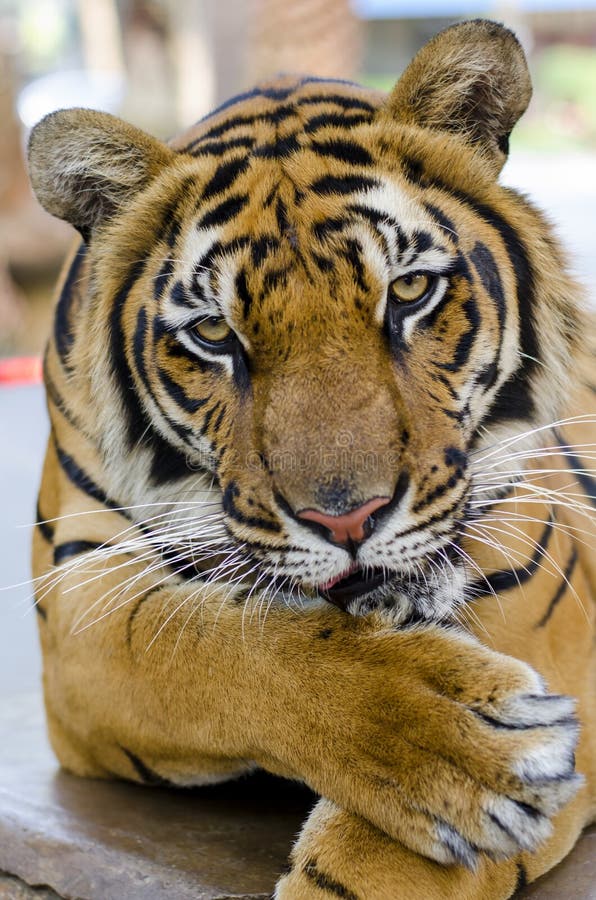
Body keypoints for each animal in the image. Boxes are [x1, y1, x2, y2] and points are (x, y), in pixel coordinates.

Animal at [25, 19, 592, 900]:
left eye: (409, 292)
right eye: (214, 333)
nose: (348, 519)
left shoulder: (539, 586)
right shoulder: (77, 597)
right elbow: (219, 644)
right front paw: (476, 749)